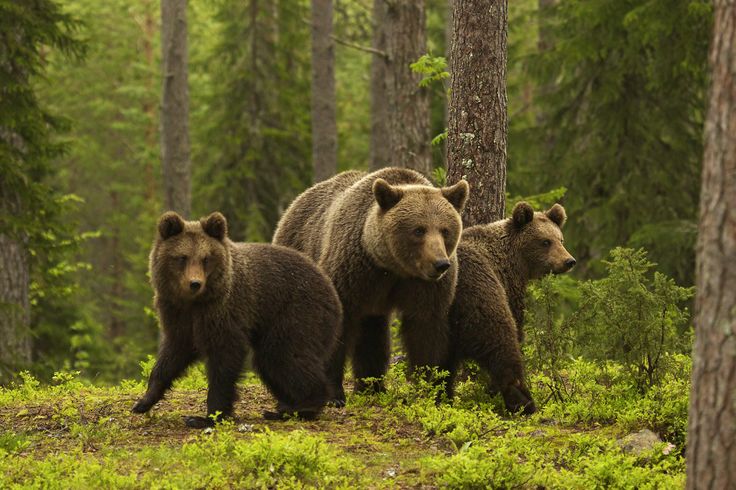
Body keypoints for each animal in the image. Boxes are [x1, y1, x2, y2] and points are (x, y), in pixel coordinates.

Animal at [134, 212, 344, 426]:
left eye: (206, 258)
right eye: (182, 257)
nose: (195, 283)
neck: (194, 302)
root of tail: (331, 289)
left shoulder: (224, 310)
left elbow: (225, 359)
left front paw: (208, 417)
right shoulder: (177, 314)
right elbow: (173, 353)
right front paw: (144, 401)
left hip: (296, 313)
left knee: (283, 356)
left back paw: (302, 407)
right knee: (270, 362)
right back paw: (285, 406)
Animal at [274, 167, 468, 404]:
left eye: (445, 230)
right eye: (419, 230)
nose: (440, 264)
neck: (392, 266)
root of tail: (295, 203)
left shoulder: (423, 286)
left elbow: (425, 330)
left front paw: (429, 389)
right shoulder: (352, 272)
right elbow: (337, 324)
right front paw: (333, 395)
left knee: (373, 334)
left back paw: (372, 386)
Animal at [446, 202, 576, 414]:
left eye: (561, 239)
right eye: (545, 241)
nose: (569, 261)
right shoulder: (507, 288)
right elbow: (515, 326)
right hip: (479, 294)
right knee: (501, 341)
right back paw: (524, 401)